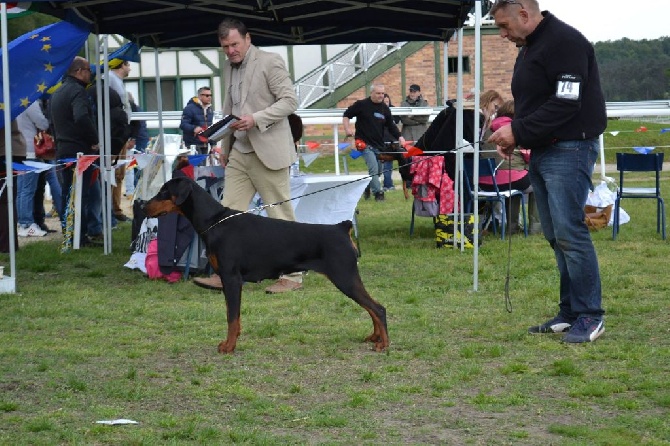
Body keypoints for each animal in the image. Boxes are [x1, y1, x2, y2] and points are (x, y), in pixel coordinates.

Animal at [144, 176, 392, 354]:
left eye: (163, 191)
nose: (142, 205)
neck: (215, 222)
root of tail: (342, 227)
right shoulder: (228, 280)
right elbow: (233, 316)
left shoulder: (231, 278)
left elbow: (231, 317)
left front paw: (228, 347)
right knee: (371, 307)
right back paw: (375, 337)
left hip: (344, 276)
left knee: (378, 308)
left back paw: (384, 344)